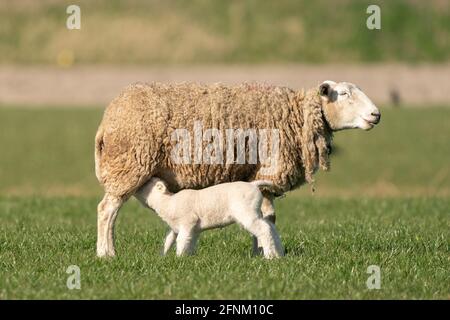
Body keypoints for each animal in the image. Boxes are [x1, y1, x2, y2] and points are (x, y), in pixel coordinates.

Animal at [135, 178, 286, 260]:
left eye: (145, 184)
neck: (167, 202)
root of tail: (253, 185)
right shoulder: (182, 228)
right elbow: (172, 241)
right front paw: (164, 256)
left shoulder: (187, 223)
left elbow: (181, 241)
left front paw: (179, 258)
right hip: (255, 212)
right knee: (271, 227)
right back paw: (278, 254)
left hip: (246, 212)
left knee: (264, 229)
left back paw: (269, 256)